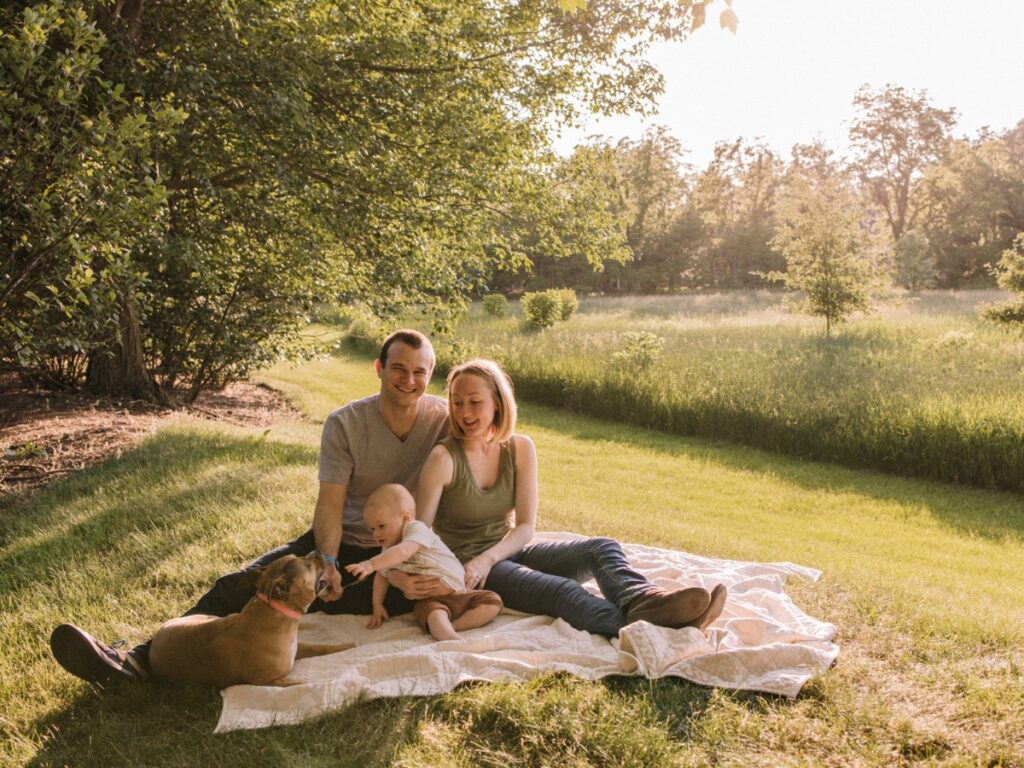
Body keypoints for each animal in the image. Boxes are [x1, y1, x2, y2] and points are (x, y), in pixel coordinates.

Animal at [148, 552, 354, 684]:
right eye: (309, 565)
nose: (317, 551)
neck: (276, 609)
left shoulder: (298, 647)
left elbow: (321, 647)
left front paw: (346, 646)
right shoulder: (269, 681)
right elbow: (299, 684)